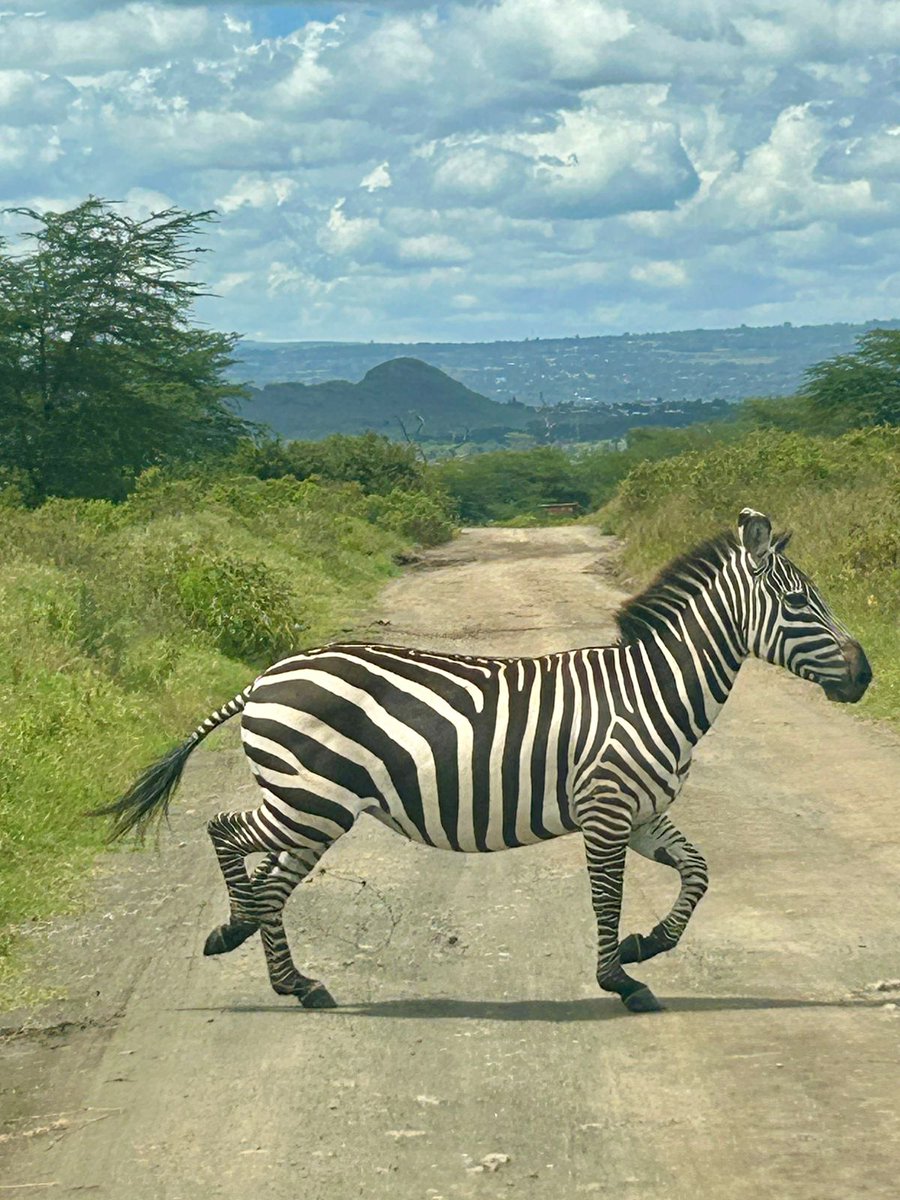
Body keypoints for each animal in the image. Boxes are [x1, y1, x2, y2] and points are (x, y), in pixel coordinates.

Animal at [96, 508, 871, 1014]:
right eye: (799, 603)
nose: (866, 676)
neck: (651, 692)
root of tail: (264, 676)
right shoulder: (606, 809)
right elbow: (607, 897)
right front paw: (620, 979)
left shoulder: (644, 814)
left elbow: (699, 873)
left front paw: (646, 947)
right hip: (307, 799)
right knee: (226, 833)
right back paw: (234, 929)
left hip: (314, 809)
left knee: (273, 884)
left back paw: (298, 983)